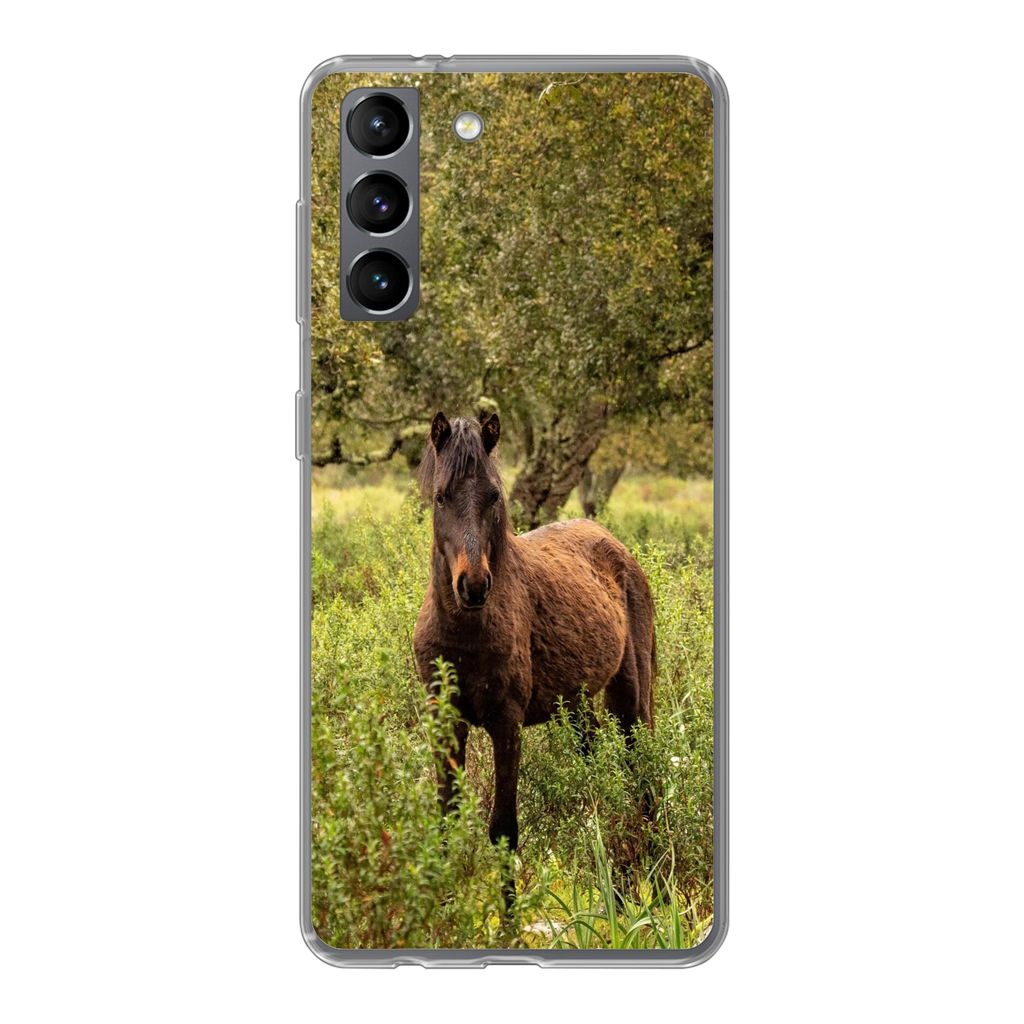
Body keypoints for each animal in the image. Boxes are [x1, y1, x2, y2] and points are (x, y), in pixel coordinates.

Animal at [412, 411, 656, 911]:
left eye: (493, 496)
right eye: (441, 496)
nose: (473, 585)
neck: (465, 631)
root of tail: (618, 547)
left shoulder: (507, 724)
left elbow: (503, 830)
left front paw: (509, 923)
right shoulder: (446, 722)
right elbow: (444, 821)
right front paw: (438, 910)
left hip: (631, 701)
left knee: (643, 782)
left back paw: (655, 890)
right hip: (578, 709)